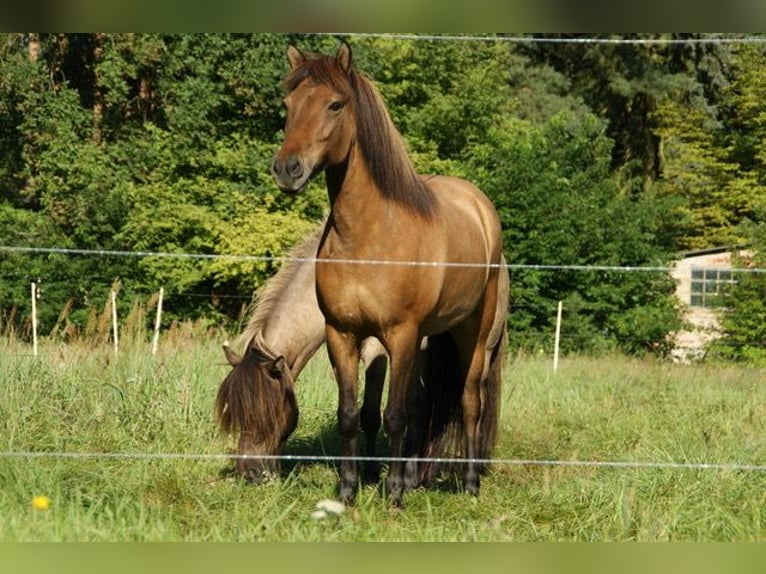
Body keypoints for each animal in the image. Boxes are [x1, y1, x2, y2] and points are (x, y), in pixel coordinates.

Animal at [272, 42, 507, 505]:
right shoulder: (342, 334)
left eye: (335, 104)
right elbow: (350, 414)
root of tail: (479, 207)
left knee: (470, 401)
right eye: (288, 106)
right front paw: (348, 491)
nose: (287, 169)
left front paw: (394, 494)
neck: (369, 238)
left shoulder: (399, 334)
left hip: (472, 332)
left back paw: (469, 483)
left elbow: (394, 414)